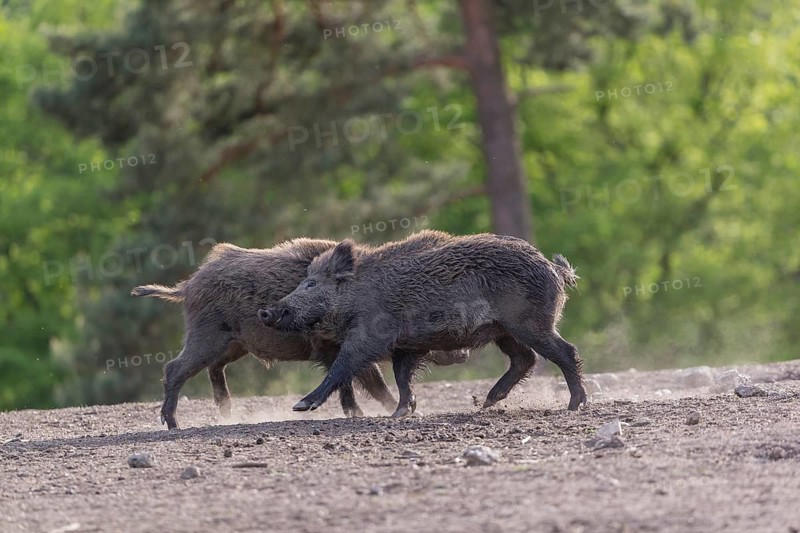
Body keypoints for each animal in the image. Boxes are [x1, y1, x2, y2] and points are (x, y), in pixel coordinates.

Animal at [132, 238, 469, 429]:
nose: (463, 352)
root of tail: (187, 286)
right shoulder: (333, 346)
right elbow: (367, 380)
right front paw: (369, 412)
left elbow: (349, 380)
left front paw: (358, 413)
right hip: (207, 336)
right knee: (174, 368)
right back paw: (173, 424)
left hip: (233, 345)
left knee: (214, 368)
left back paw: (225, 414)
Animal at [260, 230, 586, 417]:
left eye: (311, 285)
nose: (266, 312)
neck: (356, 296)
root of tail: (554, 268)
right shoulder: (408, 346)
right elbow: (402, 377)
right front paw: (401, 413)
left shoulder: (370, 337)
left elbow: (343, 366)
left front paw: (300, 406)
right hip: (505, 330)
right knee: (525, 358)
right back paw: (486, 403)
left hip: (530, 323)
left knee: (565, 351)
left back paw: (575, 405)